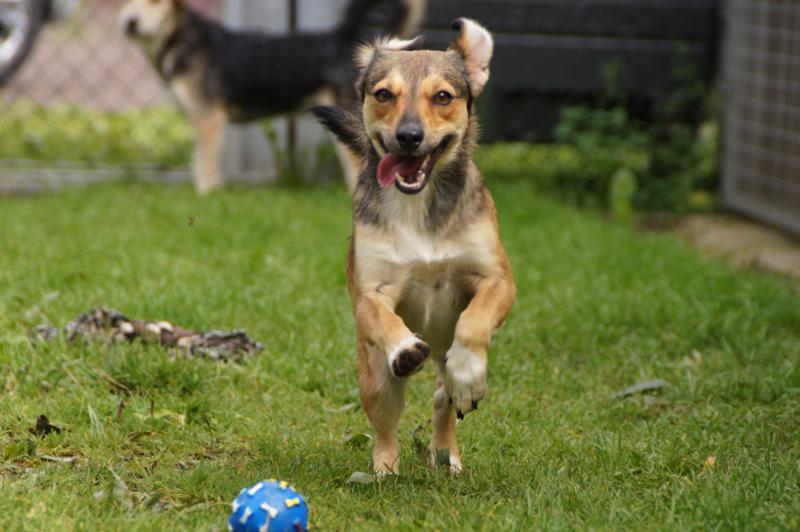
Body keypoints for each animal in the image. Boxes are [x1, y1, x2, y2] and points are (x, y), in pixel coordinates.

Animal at [118, 0, 424, 194]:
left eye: (156, 1)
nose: (130, 22)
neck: (179, 38)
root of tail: (344, 41)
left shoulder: (208, 119)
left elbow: (204, 167)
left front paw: (206, 197)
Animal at [310, 18, 516, 476]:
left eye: (443, 96)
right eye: (383, 94)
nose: (408, 136)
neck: (418, 207)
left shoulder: (497, 279)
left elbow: (474, 321)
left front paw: (469, 372)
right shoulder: (370, 292)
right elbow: (383, 318)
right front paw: (404, 347)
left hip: (442, 381)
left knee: (444, 403)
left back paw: (447, 455)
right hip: (374, 379)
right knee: (386, 425)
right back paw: (385, 469)